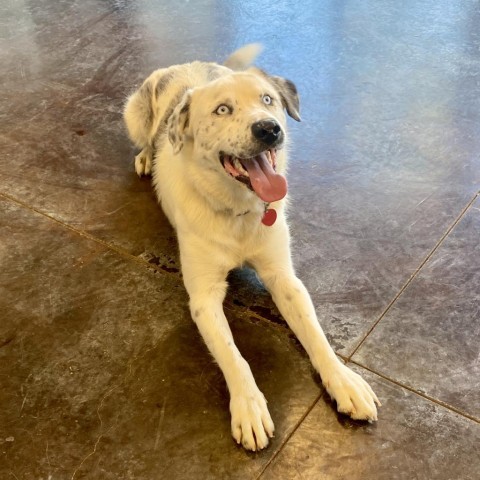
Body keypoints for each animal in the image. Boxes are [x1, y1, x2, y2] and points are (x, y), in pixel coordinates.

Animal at [124, 44, 378, 450]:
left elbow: (316, 334)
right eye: (222, 110)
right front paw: (249, 406)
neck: (238, 211)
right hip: (133, 114)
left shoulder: (284, 279)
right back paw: (147, 156)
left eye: (268, 100)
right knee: (146, 138)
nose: (269, 128)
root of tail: (189, 65)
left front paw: (343, 380)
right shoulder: (204, 297)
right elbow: (233, 356)